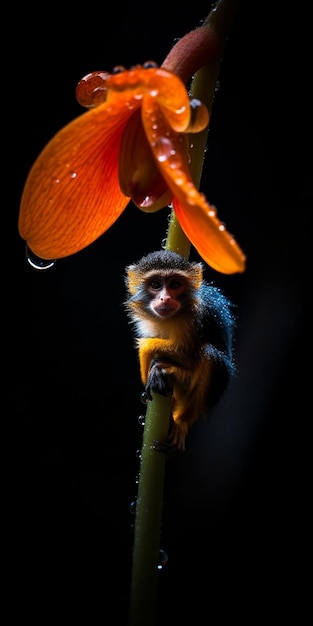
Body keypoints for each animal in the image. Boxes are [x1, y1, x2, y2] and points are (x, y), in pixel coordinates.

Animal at [123, 249, 235, 448]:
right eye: (155, 285)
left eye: (175, 285)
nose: (165, 298)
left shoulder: (195, 317)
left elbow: (190, 355)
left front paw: (146, 352)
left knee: (211, 356)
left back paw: (182, 418)